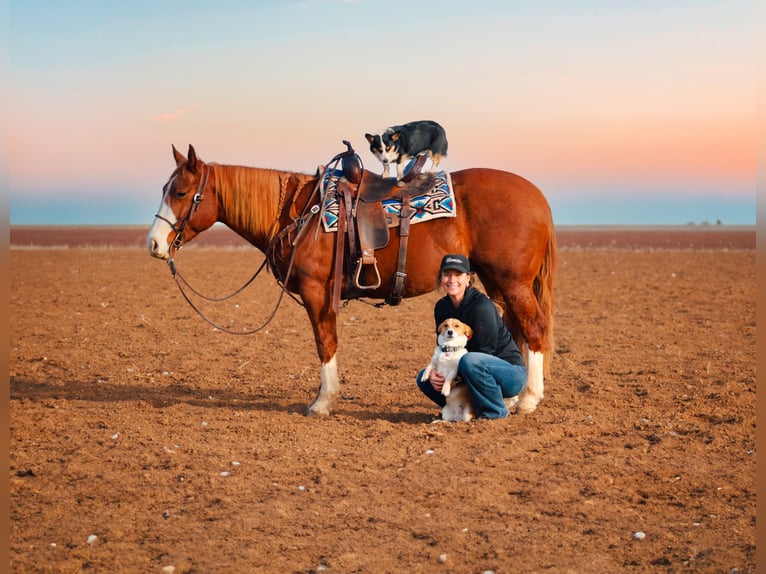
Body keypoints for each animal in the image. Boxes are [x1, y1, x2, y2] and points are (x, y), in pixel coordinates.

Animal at [146, 142, 560, 416]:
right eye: (164, 189)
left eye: (180, 192)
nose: (153, 243)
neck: (302, 213)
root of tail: (538, 197)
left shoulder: (316, 293)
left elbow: (325, 342)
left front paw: (322, 401)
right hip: (497, 281)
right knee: (514, 328)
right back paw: (511, 395)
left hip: (512, 282)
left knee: (534, 327)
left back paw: (528, 399)